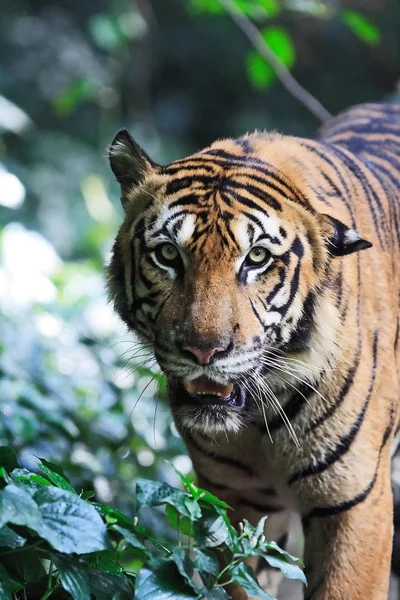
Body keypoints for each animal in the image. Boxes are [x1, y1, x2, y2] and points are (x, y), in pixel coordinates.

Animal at [106, 103, 400, 600]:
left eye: (257, 259)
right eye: (168, 255)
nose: (204, 351)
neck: (262, 416)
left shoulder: (356, 502)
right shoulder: (238, 501)